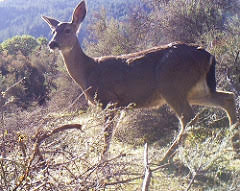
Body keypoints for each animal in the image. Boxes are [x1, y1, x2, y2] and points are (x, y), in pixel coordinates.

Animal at [42, 0, 237, 162]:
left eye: (67, 30)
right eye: (53, 31)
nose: (52, 44)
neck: (88, 71)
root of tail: (208, 55)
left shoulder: (109, 99)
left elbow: (107, 135)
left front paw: (102, 161)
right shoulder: (119, 104)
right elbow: (111, 133)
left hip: (171, 85)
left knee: (189, 118)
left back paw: (164, 158)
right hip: (194, 89)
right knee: (227, 97)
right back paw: (234, 144)